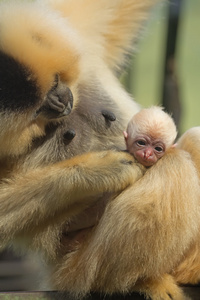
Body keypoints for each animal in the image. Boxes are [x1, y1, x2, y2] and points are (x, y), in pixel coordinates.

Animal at [0, 0, 199, 300]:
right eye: (39, 109)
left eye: (56, 82)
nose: (61, 102)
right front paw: (101, 169)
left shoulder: (71, 27)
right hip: (83, 269)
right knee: (174, 166)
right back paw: (145, 280)